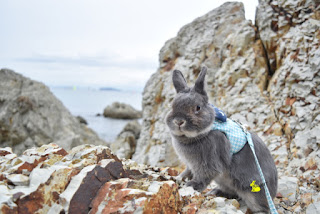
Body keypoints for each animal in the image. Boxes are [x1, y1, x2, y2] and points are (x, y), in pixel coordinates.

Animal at [165, 66, 278, 212]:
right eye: (172, 105)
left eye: (197, 107)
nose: (179, 121)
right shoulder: (191, 164)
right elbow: (187, 172)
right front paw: (178, 178)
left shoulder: (209, 161)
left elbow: (204, 176)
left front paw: (191, 185)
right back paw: (215, 192)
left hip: (252, 189)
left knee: (262, 206)